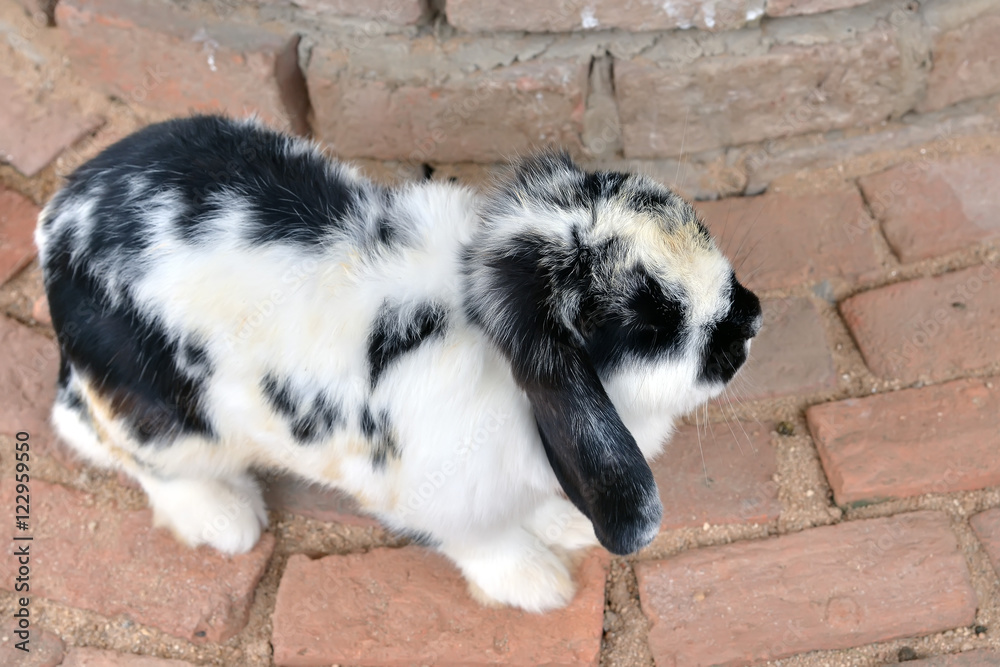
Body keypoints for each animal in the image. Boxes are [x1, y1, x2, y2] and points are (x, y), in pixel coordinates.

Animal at [35, 115, 762, 613]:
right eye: (650, 318)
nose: (750, 321)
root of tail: (55, 229)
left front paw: (562, 526)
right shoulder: (441, 499)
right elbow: (485, 543)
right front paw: (538, 584)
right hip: (162, 420)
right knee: (122, 451)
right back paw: (225, 519)